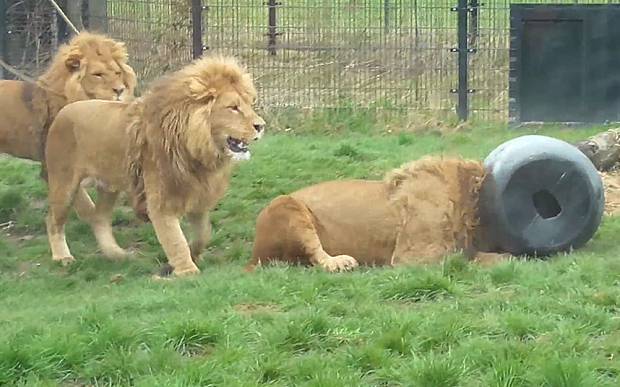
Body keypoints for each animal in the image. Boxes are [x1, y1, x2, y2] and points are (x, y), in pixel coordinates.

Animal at [43, 55, 266, 278]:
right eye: (233, 107)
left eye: (249, 104)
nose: (261, 126)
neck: (198, 150)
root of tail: (65, 110)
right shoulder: (162, 201)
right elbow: (175, 240)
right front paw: (187, 271)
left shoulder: (197, 194)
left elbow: (203, 234)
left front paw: (187, 258)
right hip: (64, 184)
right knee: (53, 220)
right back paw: (62, 257)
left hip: (109, 186)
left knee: (99, 218)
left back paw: (116, 254)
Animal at [245, 156, 506, 272]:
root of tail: (254, 253)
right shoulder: (411, 258)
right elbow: (469, 259)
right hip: (285, 205)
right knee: (317, 255)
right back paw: (341, 262)